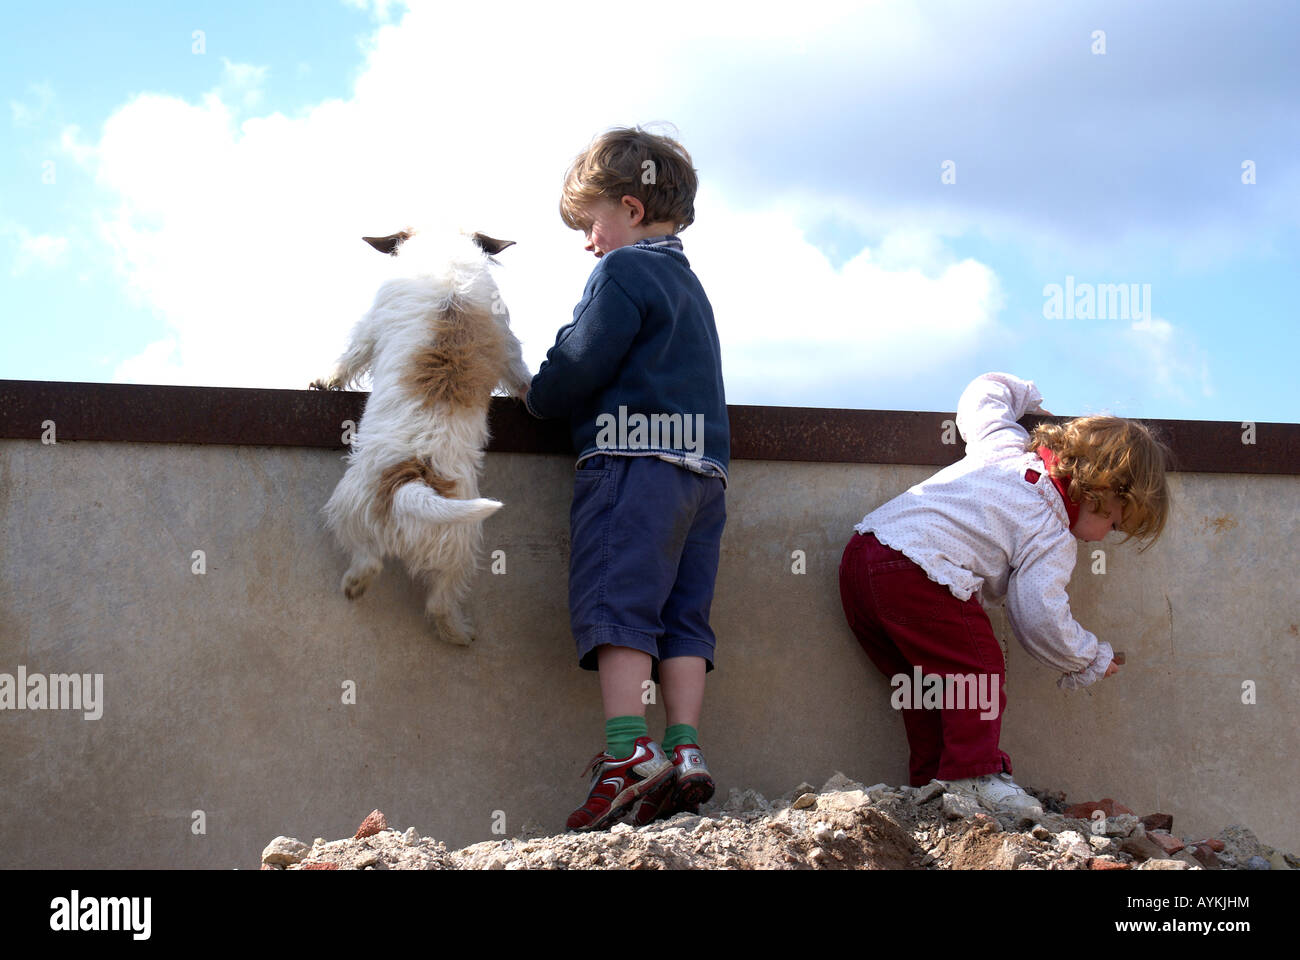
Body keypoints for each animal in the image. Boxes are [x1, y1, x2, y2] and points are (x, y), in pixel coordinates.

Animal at [312, 227, 530, 642]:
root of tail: (413, 477)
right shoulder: (507, 338)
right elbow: (520, 371)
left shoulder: (370, 325)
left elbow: (351, 354)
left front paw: (325, 379)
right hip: (459, 542)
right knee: (440, 598)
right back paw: (459, 633)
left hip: (349, 506)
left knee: (369, 558)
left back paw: (355, 586)